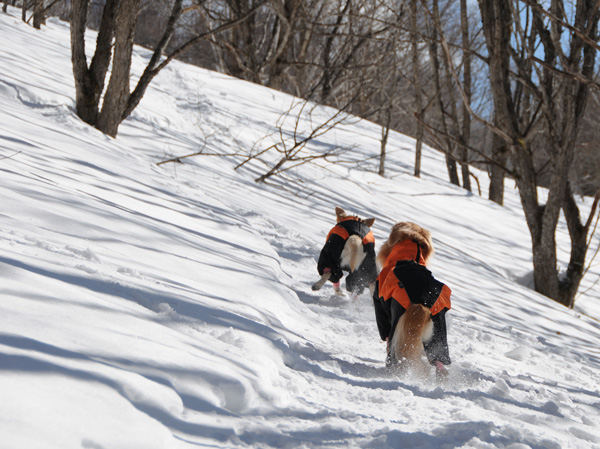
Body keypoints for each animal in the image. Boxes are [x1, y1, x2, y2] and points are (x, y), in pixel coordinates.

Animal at [372, 220, 452, 378]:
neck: (410, 256)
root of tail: (423, 303)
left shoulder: (380, 304)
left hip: (398, 326)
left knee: (395, 357)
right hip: (438, 332)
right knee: (439, 359)